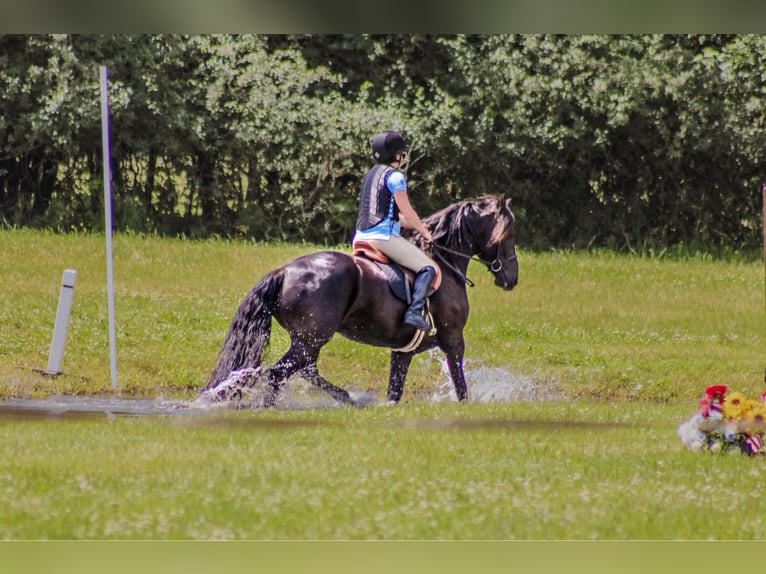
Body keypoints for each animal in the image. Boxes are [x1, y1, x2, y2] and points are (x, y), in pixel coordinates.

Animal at [201, 196, 520, 408]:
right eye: (509, 233)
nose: (512, 278)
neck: (445, 261)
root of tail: (284, 271)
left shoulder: (403, 351)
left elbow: (395, 391)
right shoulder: (454, 340)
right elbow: (461, 385)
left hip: (308, 341)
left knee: (304, 369)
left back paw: (347, 398)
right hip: (311, 339)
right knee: (280, 373)